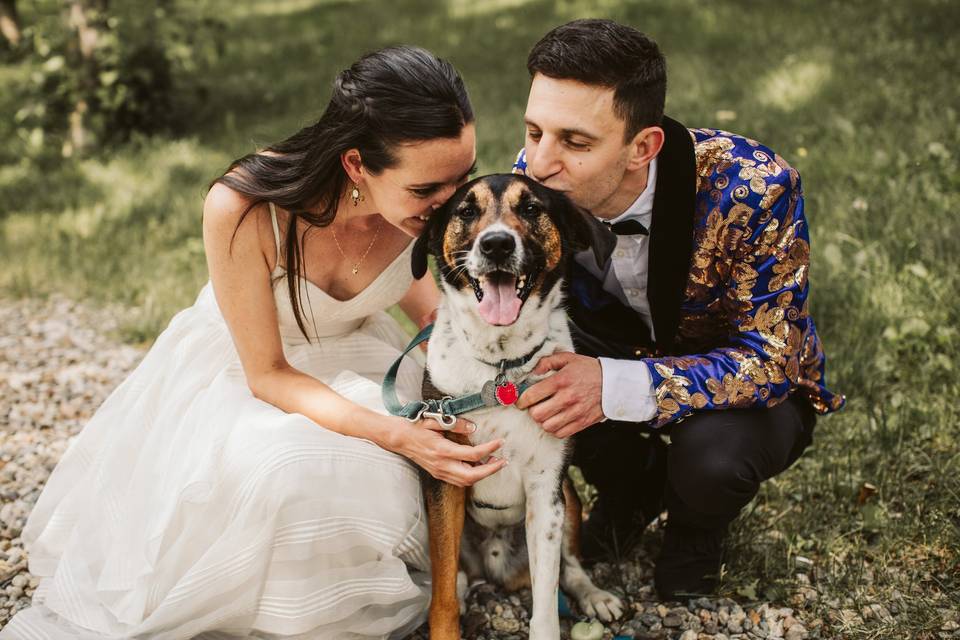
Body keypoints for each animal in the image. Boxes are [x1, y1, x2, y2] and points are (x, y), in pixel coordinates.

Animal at [410, 175, 624, 640]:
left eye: (530, 208)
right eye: (466, 211)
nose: (496, 245)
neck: (500, 367)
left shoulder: (546, 489)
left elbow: (546, 601)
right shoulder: (444, 476)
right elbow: (443, 593)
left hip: (568, 497)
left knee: (569, 570)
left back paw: (595, 596)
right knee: (457, 577)